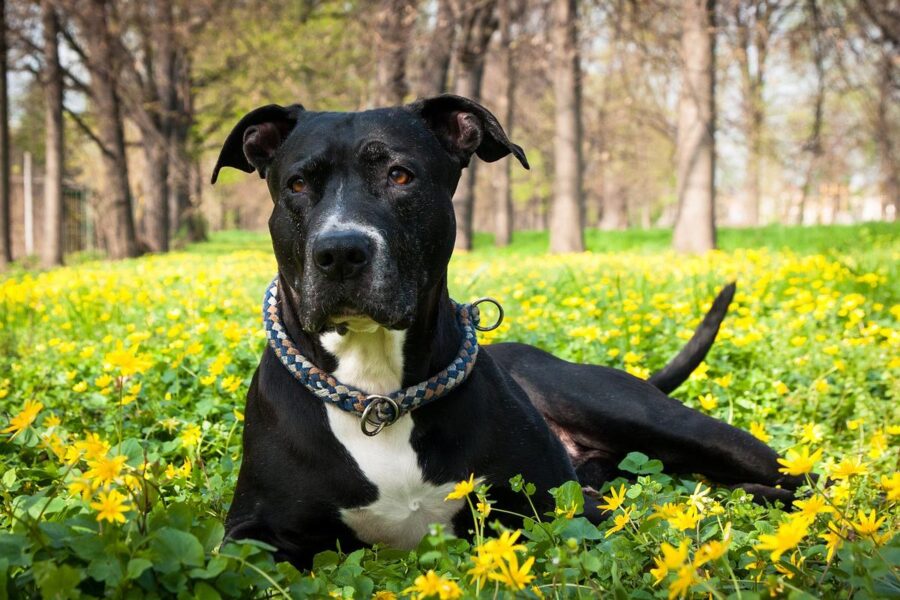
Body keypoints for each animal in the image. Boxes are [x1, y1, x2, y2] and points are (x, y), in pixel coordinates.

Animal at [211, 94, 800, 568]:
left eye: (400, 175)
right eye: (297, 184)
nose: (339, 252)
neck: (378, 396)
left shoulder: (564, 505)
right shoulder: (250, 535)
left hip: (650, 418)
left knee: (794, 478)